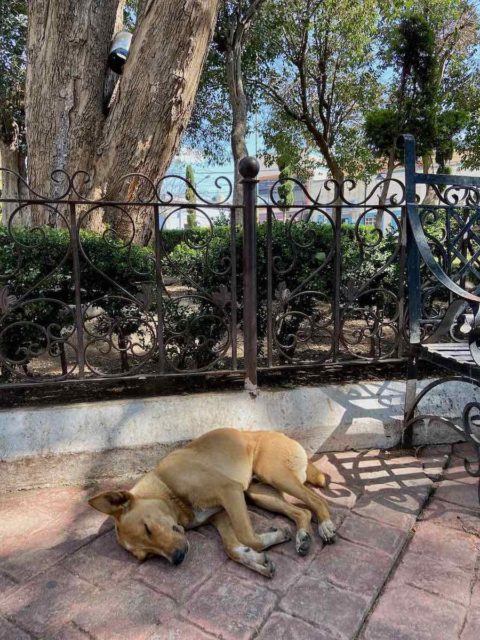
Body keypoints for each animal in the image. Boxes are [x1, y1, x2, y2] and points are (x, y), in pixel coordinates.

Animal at [91, 428, 338, 576]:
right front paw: (256, 558)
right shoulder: (220, 515)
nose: (178, 558)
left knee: (316, 500)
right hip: (259, 494)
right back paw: (303, 537)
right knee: (302, 512)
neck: (167, 488)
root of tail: (284, 435)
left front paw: (266, 542)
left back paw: (325, 526)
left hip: (275, 475)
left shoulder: (229, 491)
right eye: (146, 556)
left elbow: (248, 537)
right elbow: (232, 547)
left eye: (147, 528)